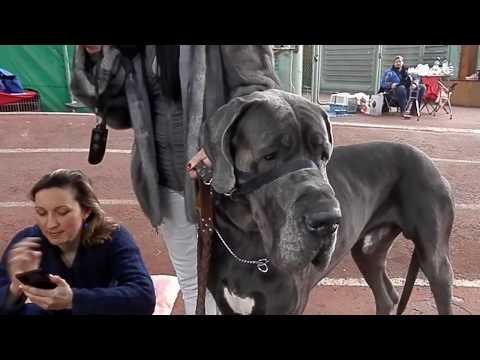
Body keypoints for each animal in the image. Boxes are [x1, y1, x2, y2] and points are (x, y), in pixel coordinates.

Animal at [201, 88, 456, 314]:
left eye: (323, 155)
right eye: (269, 155)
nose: (329, 220)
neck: (247, 243)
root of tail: (428, 161)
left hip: (434, 261)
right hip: (368, 251)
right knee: (387, 296)